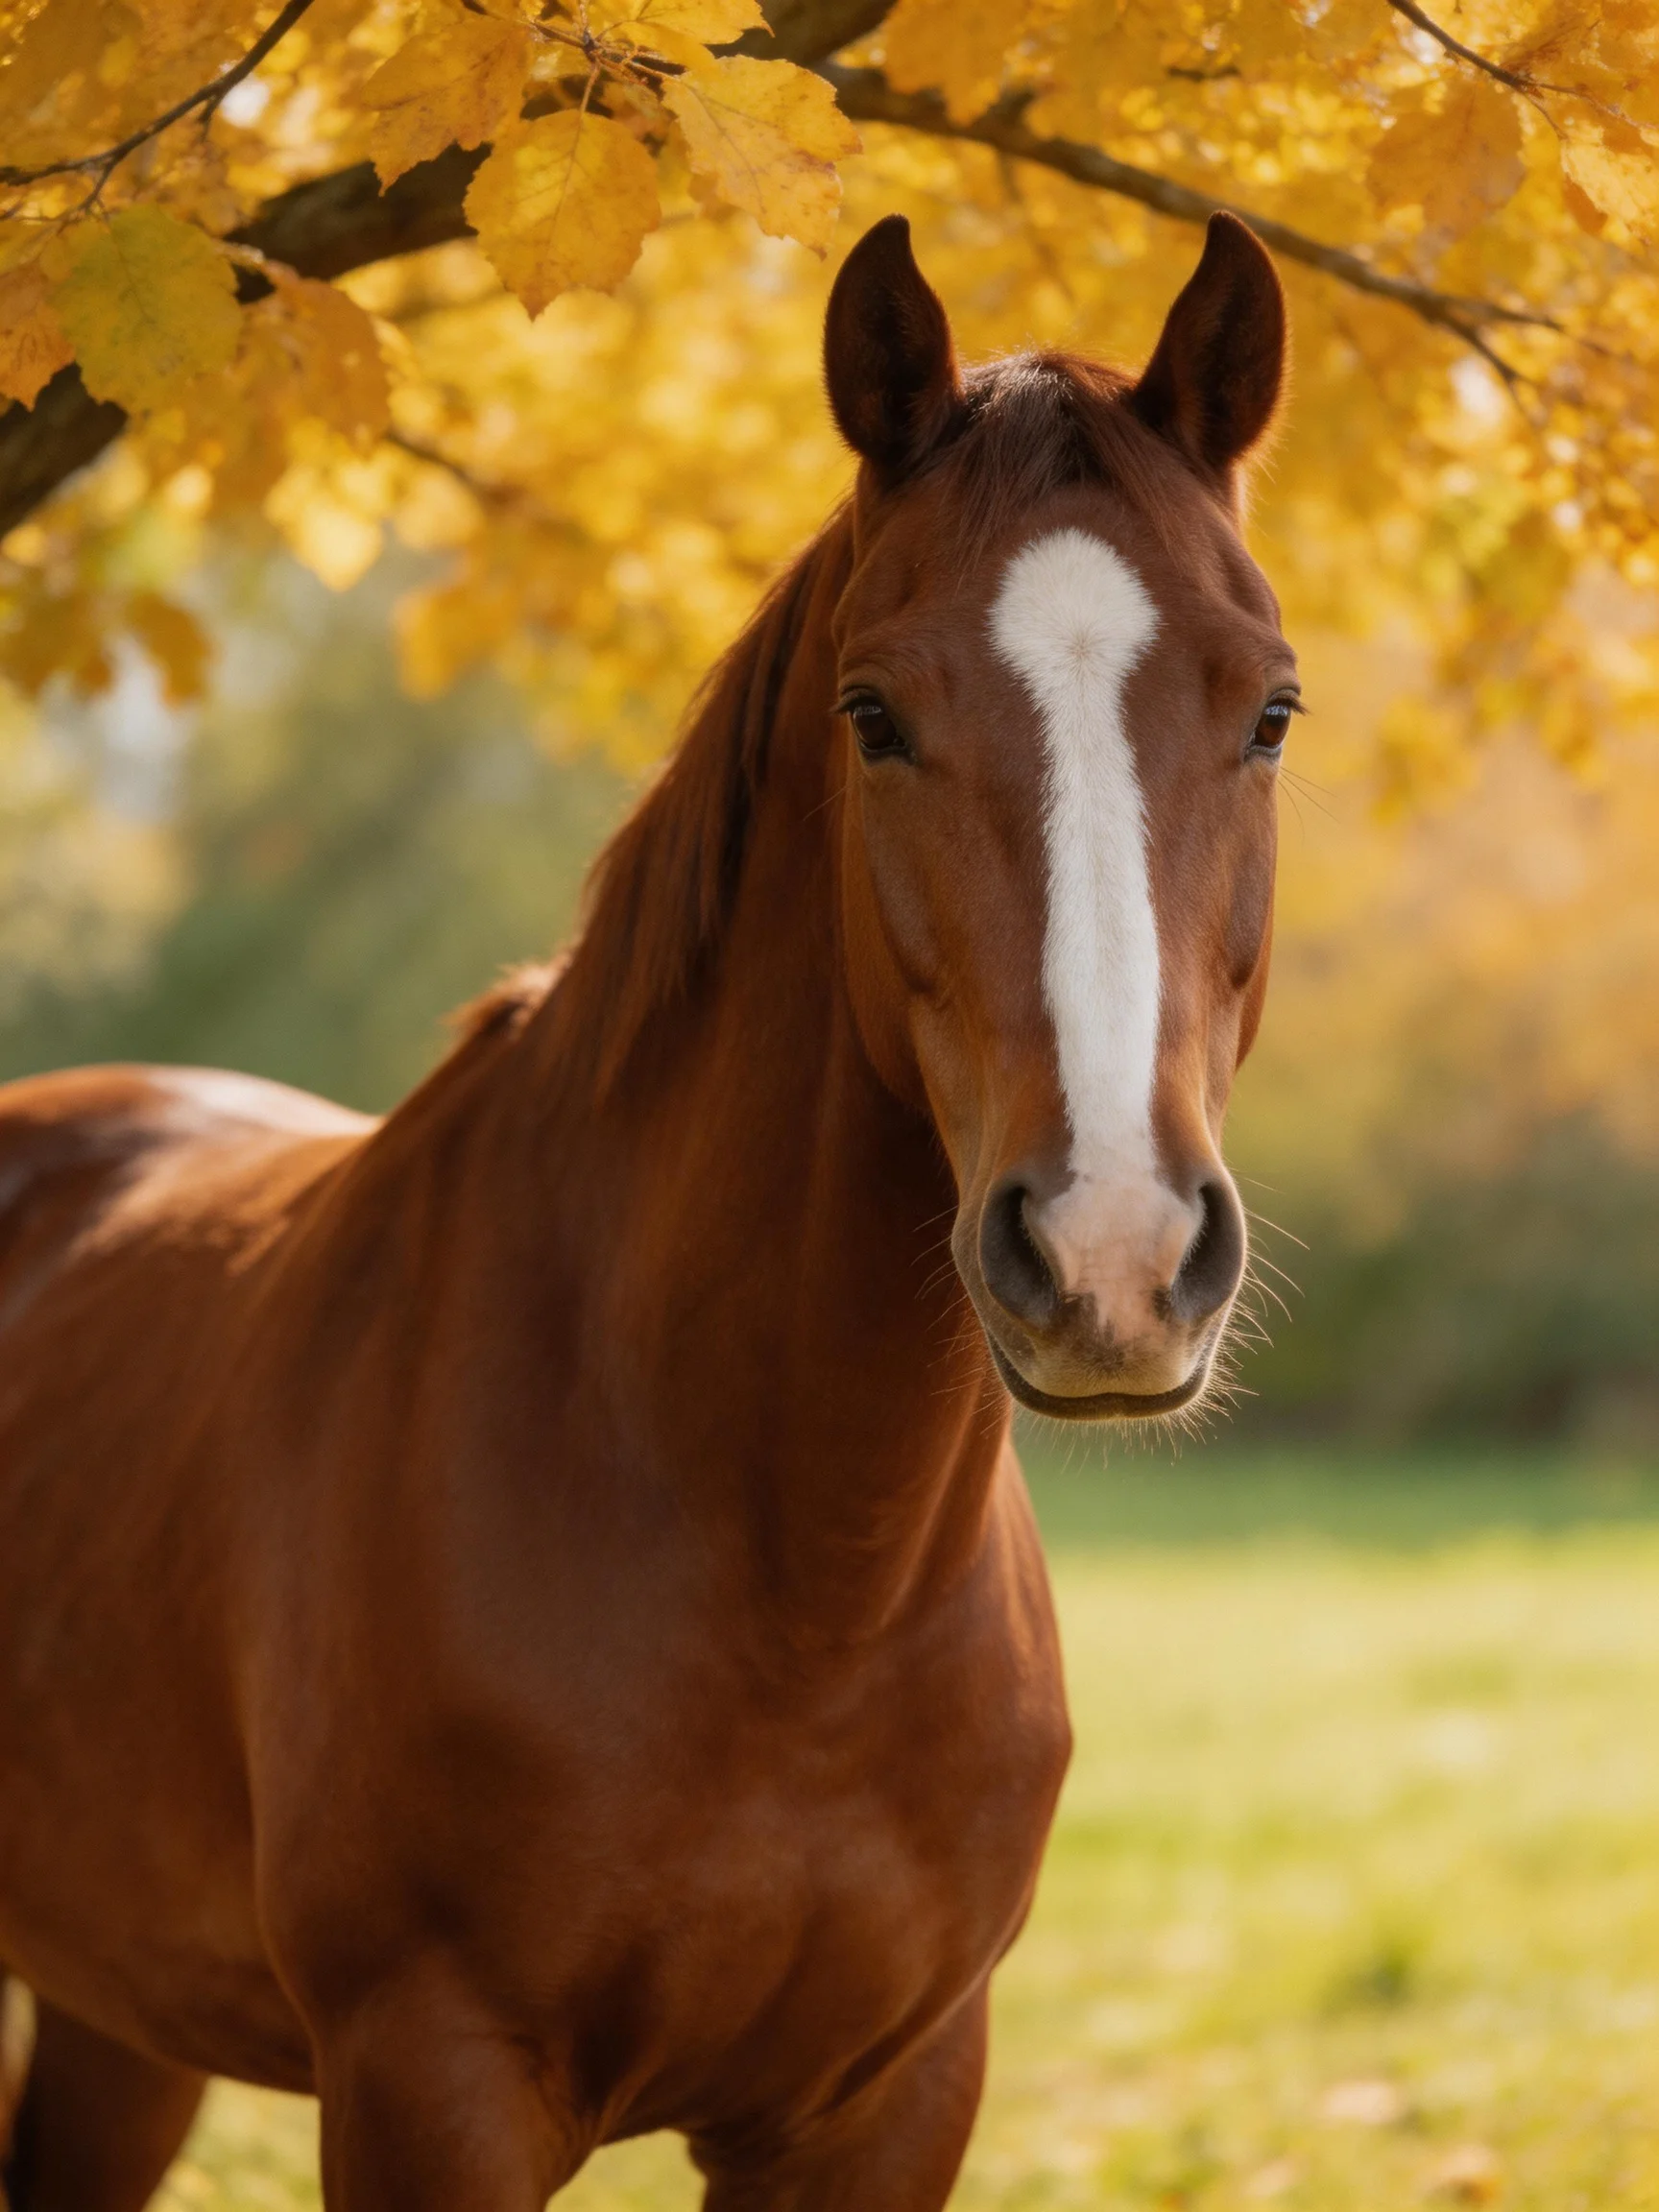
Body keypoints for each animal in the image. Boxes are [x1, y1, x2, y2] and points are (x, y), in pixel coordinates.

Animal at [0, 209, 1292, 2211]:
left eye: (1269, 711)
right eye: (872, 715)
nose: (1112, 1254)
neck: (785, 1587)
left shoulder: (881, 2104)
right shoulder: (429, 2089)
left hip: (118, 2016)